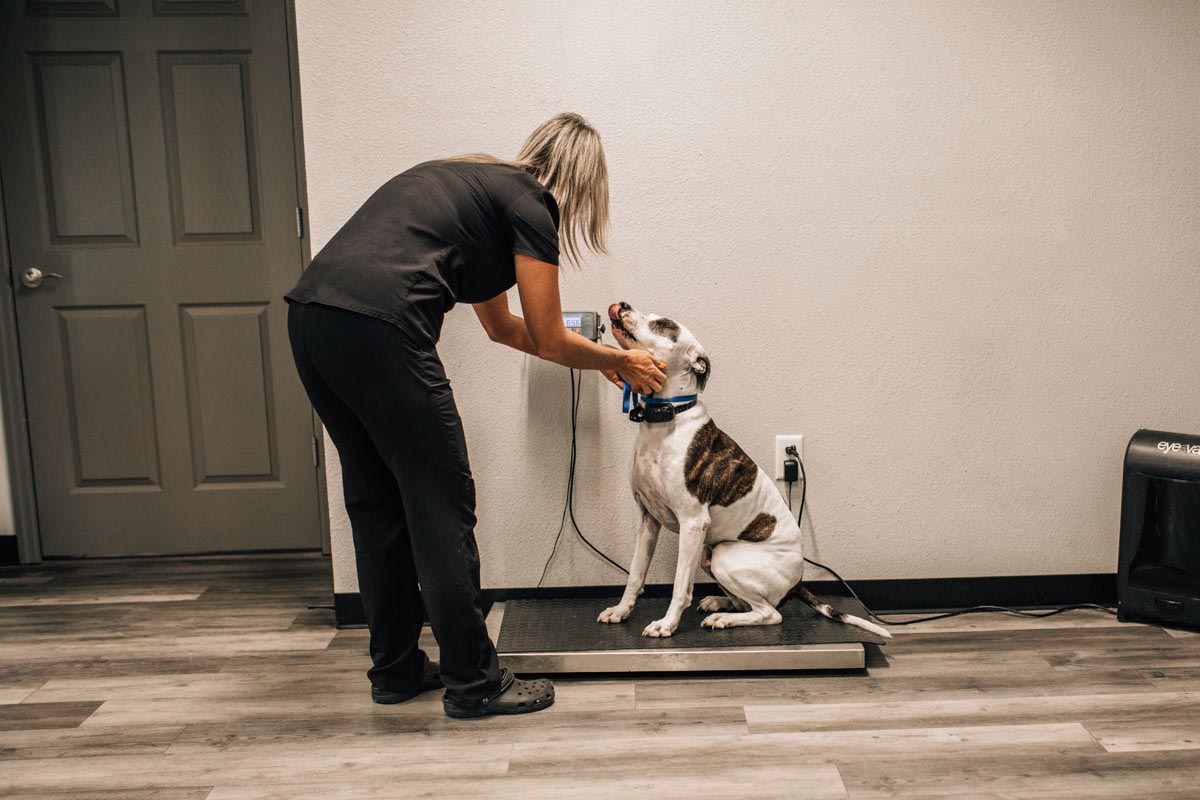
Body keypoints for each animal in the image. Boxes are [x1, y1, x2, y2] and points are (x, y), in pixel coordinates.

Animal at [600, 303, 892, 642]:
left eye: (664, 324)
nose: (622, 304)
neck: (665, 420)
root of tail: (798, 582)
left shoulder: (692, 522)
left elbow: (680, 586)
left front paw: (666, 624)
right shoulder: (648, 519)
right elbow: (635, 575)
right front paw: (621, 611)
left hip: (725, 554)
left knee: (770, 613)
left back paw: (724, 618)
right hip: (708, 553)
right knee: (748, 604)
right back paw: (719, 603)